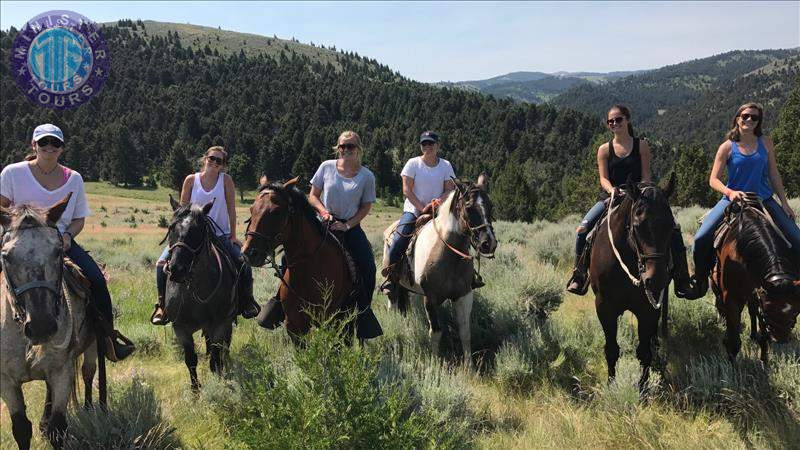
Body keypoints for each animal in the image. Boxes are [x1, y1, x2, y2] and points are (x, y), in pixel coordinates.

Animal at [0, 198, 100, 450]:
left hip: (92, 346)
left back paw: (91, 411)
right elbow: (21, 429)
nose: (41, 326)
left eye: (57, 251)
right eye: (6, 256)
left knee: (88, 373)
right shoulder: (6, 380)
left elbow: (58, 428)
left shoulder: (61, 371)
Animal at [161, 197, 239, 390]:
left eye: (197, 230)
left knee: (224, 348)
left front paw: (219, 384)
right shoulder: (180, 327)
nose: (177, 270)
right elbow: (191, 360)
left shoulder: (220, 323)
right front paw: (195, 391)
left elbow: (216, 360)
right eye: (171, 228)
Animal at [242, 178, 354, 340]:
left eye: (276, 212)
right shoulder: (294, 326)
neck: (308, 268)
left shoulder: (329, 322)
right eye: (252, 209)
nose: (249, 253)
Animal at [588, 174, 676, 392]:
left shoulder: (648, 308)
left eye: (671, 226)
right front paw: (611, 384)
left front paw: (642, 388)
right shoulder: (604, 307)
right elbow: (611, 349)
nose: (656, 278)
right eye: (637, 226)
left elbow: (644, 352)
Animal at [712, 195, 800, 364]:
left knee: (752, 311)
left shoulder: (759, 294)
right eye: (769, 311)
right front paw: (731, 365)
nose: (780, 338)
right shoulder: (732, 297)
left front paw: (764, 360)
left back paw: (753, 335)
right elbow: (734, 339)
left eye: (796, 311)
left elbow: (762, 333)